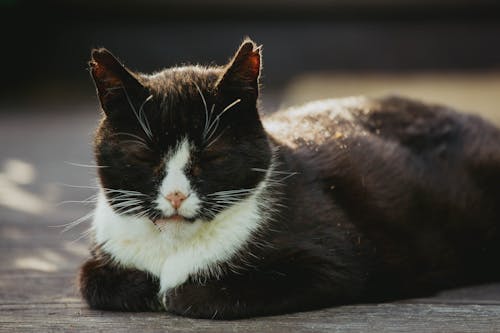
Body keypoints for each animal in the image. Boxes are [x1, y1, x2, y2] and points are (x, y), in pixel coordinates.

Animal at [79, 37, 500, 318]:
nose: (176, 196)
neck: (172, 250)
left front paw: (173, 293)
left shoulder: (335, 262)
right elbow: (91, 280)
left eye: (212, 153)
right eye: (144, 155)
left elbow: (197, 295)